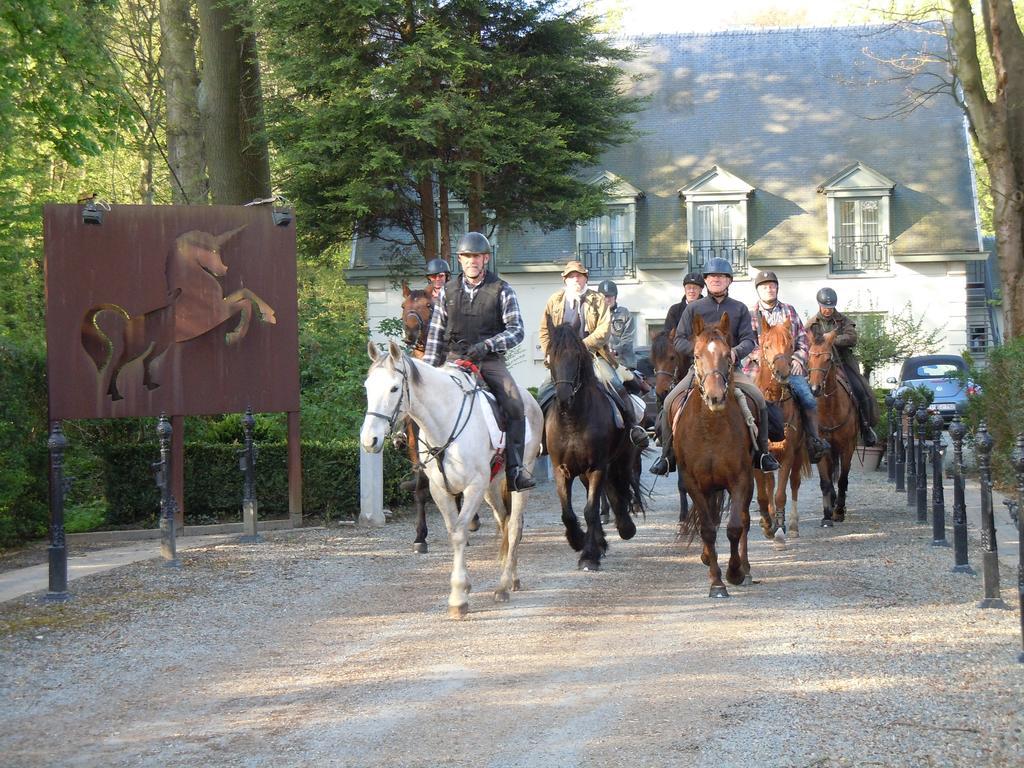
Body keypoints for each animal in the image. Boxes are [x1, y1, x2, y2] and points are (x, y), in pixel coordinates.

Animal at [364, 342, 548, 618]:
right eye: (367, 387)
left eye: (394, 388)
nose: (369, 440)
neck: (445, 421)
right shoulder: (441, 490)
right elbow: (453, 531)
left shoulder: (473, 487)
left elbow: (460, 533)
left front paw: (459, 597)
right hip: (491, 487)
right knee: (503, 520)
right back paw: (512, 577)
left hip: (516, 482)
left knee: (515, 525)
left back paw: (503, 585)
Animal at [544, 319, 638, 573]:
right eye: (551, 355)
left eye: (577, 355)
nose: (564, 398)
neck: (573, 420)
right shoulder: (561, 469)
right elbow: (568, 513)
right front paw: (577, 540)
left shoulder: (597, 467)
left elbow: (590, 509)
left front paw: (588, 556)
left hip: (621, 459)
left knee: (618, 489)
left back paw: (624, 528)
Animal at [667, 313, 757, 602]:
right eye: (696, 355)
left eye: (728, 355)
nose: (715, 396)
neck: (711, 429)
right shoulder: (693, 483)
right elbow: (706, 528)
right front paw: (716, 583)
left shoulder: (740, 480)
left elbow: (735, 526)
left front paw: (734, 573)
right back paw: (708, 558)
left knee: (744, 520)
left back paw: (746, 570)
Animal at [749, 317, 811, 540]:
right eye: (766, 345)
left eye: (790, 345)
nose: (782, 372)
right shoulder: (759, 458)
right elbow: (763, 494)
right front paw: (768, 523)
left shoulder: (788, 454)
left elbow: (780, 494)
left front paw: (780, 527)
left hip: (799, 453)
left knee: (794, 484)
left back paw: (792, 525)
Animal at [802, 331, 860, 528]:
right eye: (808, 359)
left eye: (828, 359)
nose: (814, 389)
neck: (830, 409)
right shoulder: (821, 448)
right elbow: (825, 481)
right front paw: (827, 514)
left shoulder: (847, 448)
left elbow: (842, 479)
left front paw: (839, 511)